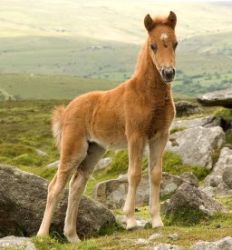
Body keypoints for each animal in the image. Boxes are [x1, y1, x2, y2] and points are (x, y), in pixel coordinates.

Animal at [37, 11, 178, 242]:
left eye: (175, 43)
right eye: (153, 45)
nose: (168, 73)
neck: (148, 94)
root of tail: (66, 110)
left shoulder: (161, 135)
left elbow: (156, 174)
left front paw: (157, 221)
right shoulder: (135, 135)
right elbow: (134, 174)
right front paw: (130, 221)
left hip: (94, 150)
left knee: (76, 185)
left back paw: (73, 237)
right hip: (74, 149)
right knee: (56, 186)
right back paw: (42, 235)